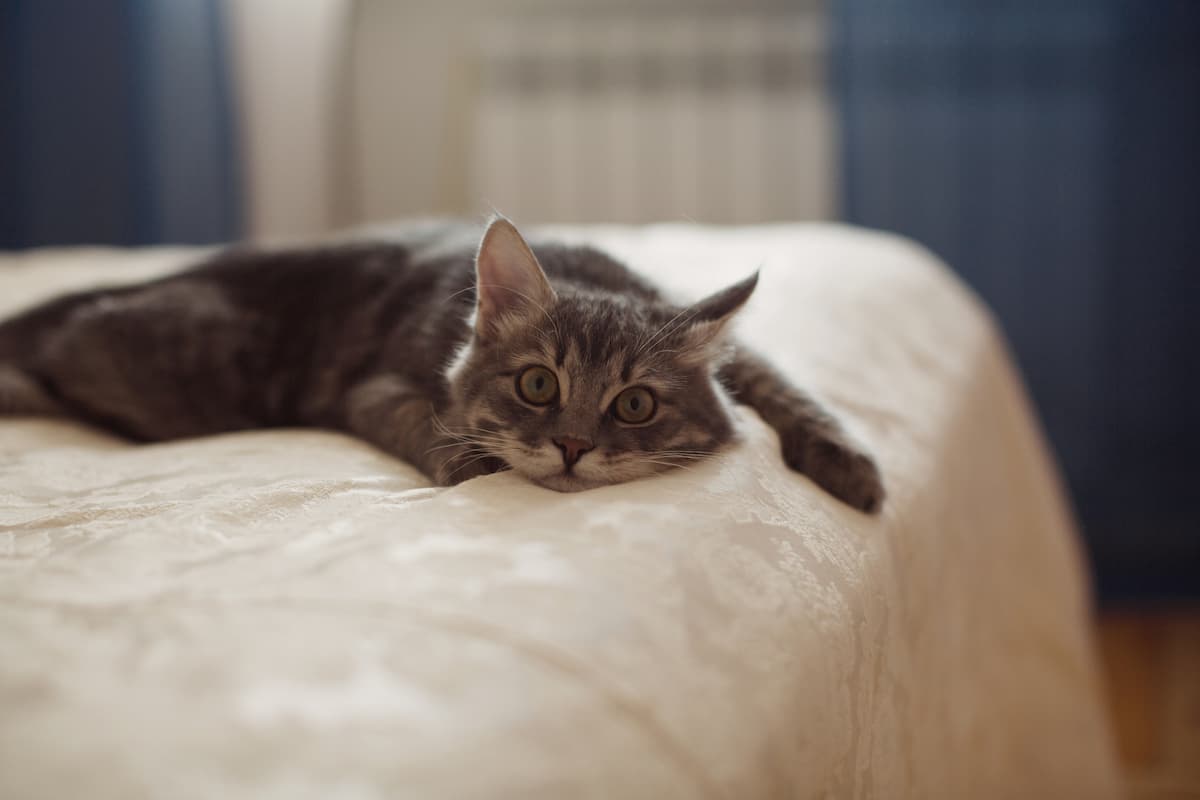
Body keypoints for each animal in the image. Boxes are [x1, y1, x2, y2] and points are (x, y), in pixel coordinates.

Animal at [0, 217, 883, 513]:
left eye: (636, 404)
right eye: (538, 385)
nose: (572, 447)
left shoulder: (735, 350)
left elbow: (788, 388)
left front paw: (852, 466)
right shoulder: (376, 388)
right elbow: (432, 428)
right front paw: (474, 464)